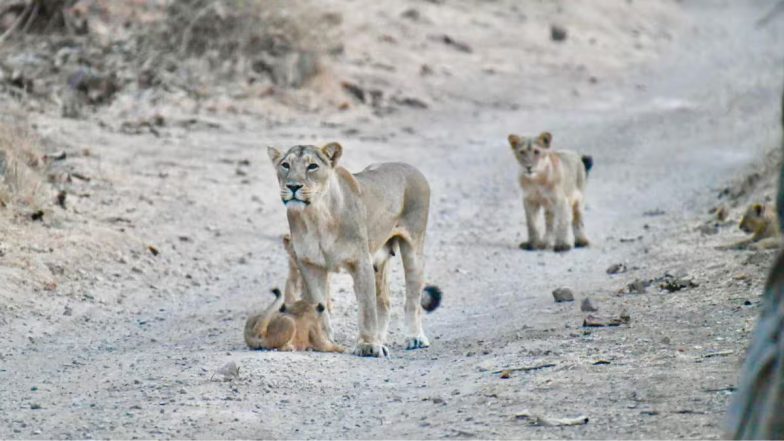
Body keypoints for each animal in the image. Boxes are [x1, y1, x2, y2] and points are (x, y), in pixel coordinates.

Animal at [267, 143, 442, 357]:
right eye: (285, 165)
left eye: (312, 166)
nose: (293, 186)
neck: (316, 217)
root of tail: (410, 167)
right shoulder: (310, 265)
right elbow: (319, 303)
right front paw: (323, 339)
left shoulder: (361, 262)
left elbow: (367, 308)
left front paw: (368, 345)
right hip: (379, 260)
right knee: (384, 301)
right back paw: (382, 338)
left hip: (413, 247)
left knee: (412, 298)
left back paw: (414, 338)